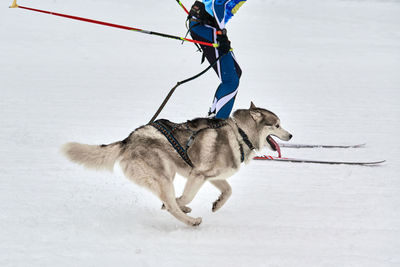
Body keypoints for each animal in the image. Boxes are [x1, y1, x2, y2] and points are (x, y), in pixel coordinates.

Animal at [64, 102, 292, 226]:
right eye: (277, 125)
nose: (290, 135)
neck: (240, 135)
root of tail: (128, 139)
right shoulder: (198, 175)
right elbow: (185, 197)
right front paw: (179, 203)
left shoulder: (212, 177)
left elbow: (228, 191)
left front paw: (217, 204)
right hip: (165, 176)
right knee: (172, 205)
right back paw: (190, 220)